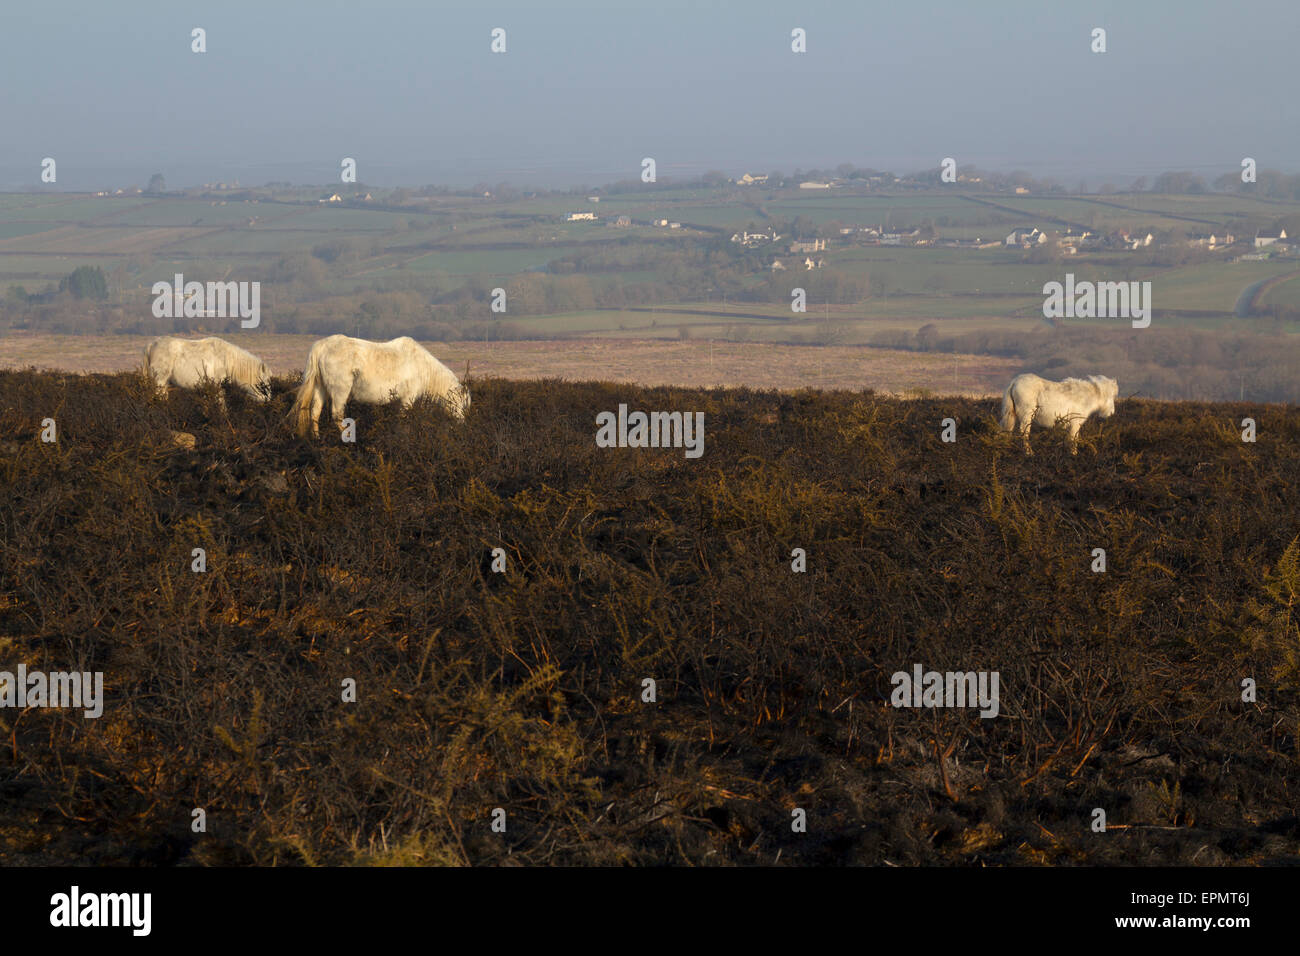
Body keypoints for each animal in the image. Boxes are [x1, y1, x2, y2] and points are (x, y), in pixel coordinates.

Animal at [289, 335, 467, 439]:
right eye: (461, 403)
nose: (462, 423)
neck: (421, 366)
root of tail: (322, 346)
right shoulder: (407, 399)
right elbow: (404, 420)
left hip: (321, 388)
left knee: (314, 412)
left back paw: (317, 439)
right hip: (340, 391)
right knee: (337, 415)